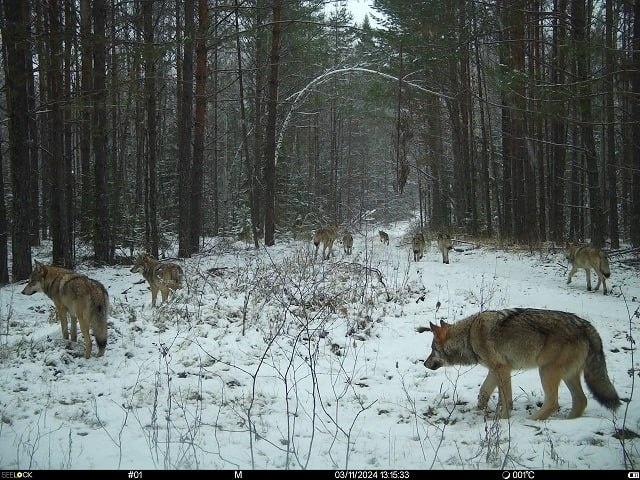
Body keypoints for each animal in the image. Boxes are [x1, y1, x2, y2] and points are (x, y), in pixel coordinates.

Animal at [422, 310, 624, 418]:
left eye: (432, 350)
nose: (424, 364)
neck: (470, 335)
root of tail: (587, 326)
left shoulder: (502, 370)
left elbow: (506, 399)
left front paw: (502, 418)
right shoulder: (495, 371)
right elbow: (483, 392)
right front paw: (479, 411)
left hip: (546, 372)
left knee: (553, 403)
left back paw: (532, 420)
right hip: (567, 376)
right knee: (581, 400)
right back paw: (568, 421)